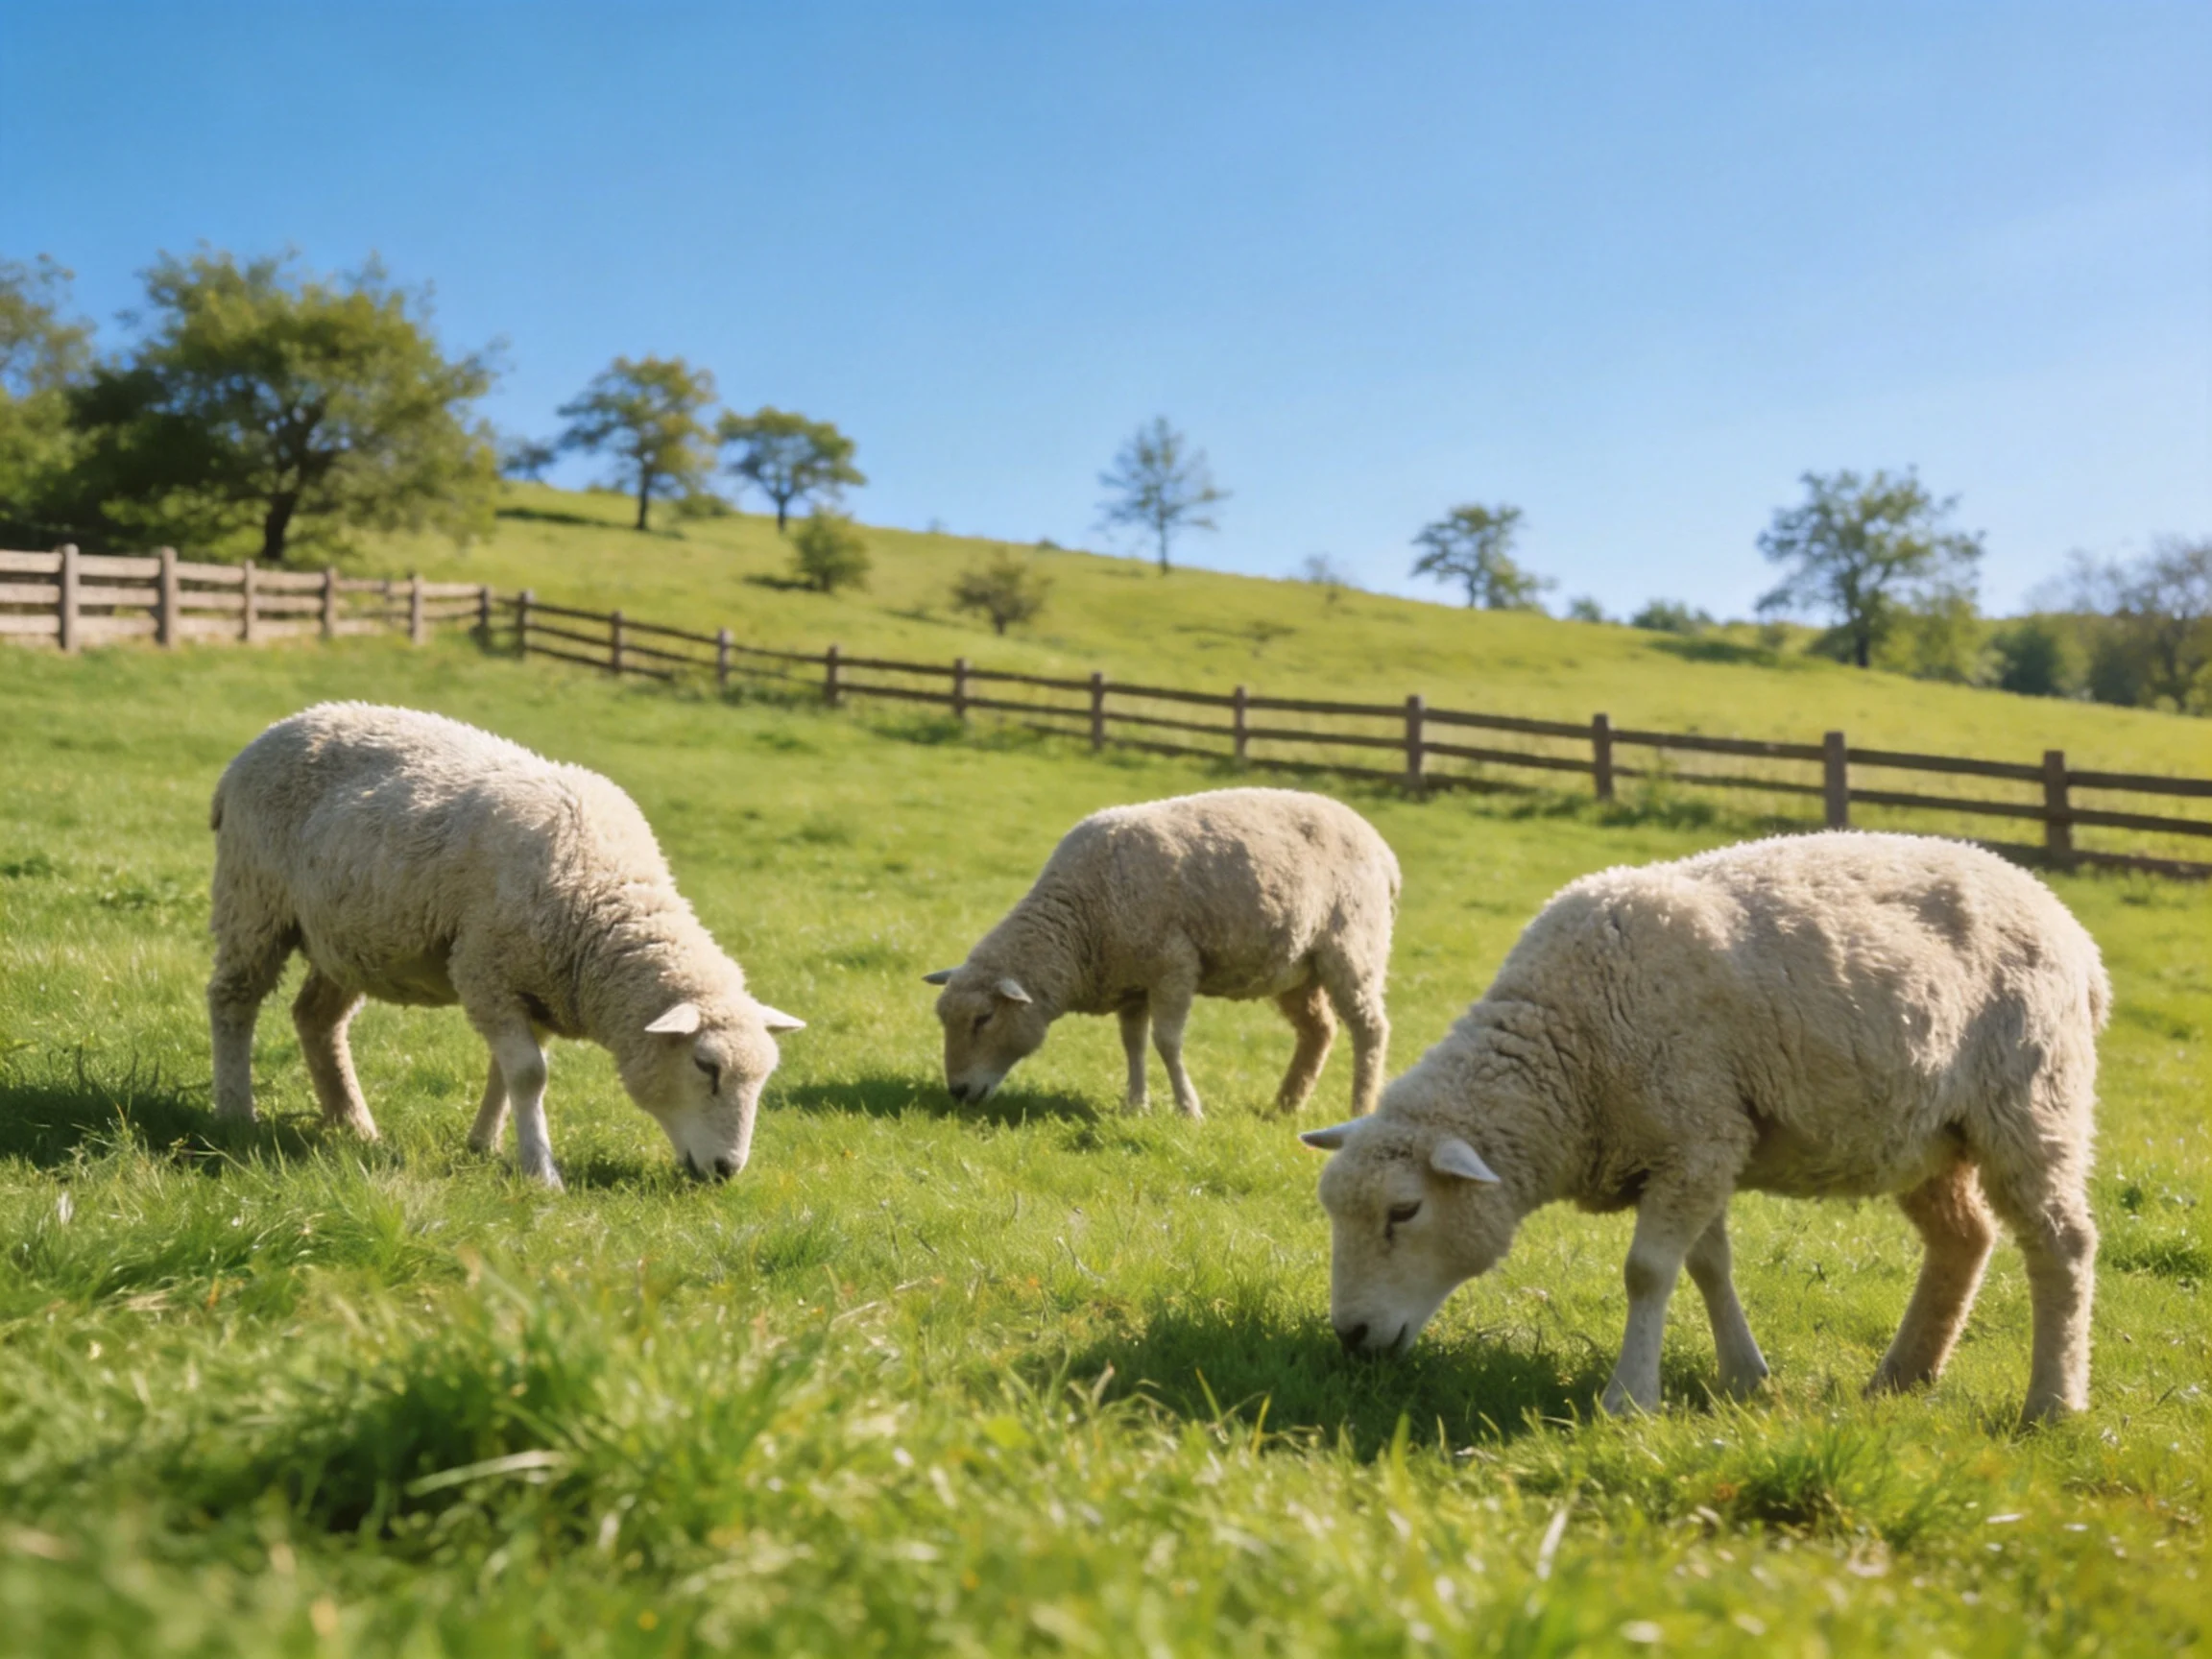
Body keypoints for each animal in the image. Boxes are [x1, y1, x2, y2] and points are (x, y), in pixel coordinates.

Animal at [206, 703, 804, 1189]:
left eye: (763, 1079)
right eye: (707, 1066)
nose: (726, 1171)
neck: (600, 893)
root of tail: (264, 739)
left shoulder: (537, 987)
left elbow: (508, 1072)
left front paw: (486, 1145)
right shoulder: (485, 970)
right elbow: (529, 1075)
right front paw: (540, 1171)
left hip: (345, 938)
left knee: (317, 1019)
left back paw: (352, 1123)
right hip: (253, 900)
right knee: (232, 1000)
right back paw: (237, 1113)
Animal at [925, 787, 1399, 1119]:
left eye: (984, 1019)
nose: (958, 1092)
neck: (1081, 918)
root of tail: (1381, 847)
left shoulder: (1174, 966)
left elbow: (1167, 1042)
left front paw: (1189, 1109)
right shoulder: (1130, 981)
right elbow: (1132, 1044)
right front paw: (1136, 1105)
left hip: (1354, 948)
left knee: (1370, 1029)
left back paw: (1360, 1107)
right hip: (1297, 968)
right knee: (1319, 1031)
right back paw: (1286, 1104)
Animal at [1302, 832, 2109, 1424]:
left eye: (1405, 1211)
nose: (1351, 1337)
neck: (1568, 1050)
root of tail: (2074, 932)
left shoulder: (1695, 1135)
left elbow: (1647, 1272)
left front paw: (1629, 1399)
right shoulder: (1699, 1142)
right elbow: (1707, 1265)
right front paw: (1744, 1376)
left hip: (2031, 1102)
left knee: (2062, 1244)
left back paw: (2054, 1403)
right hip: (1926, 1136)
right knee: (1963, 1239)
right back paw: (1903, 1376)